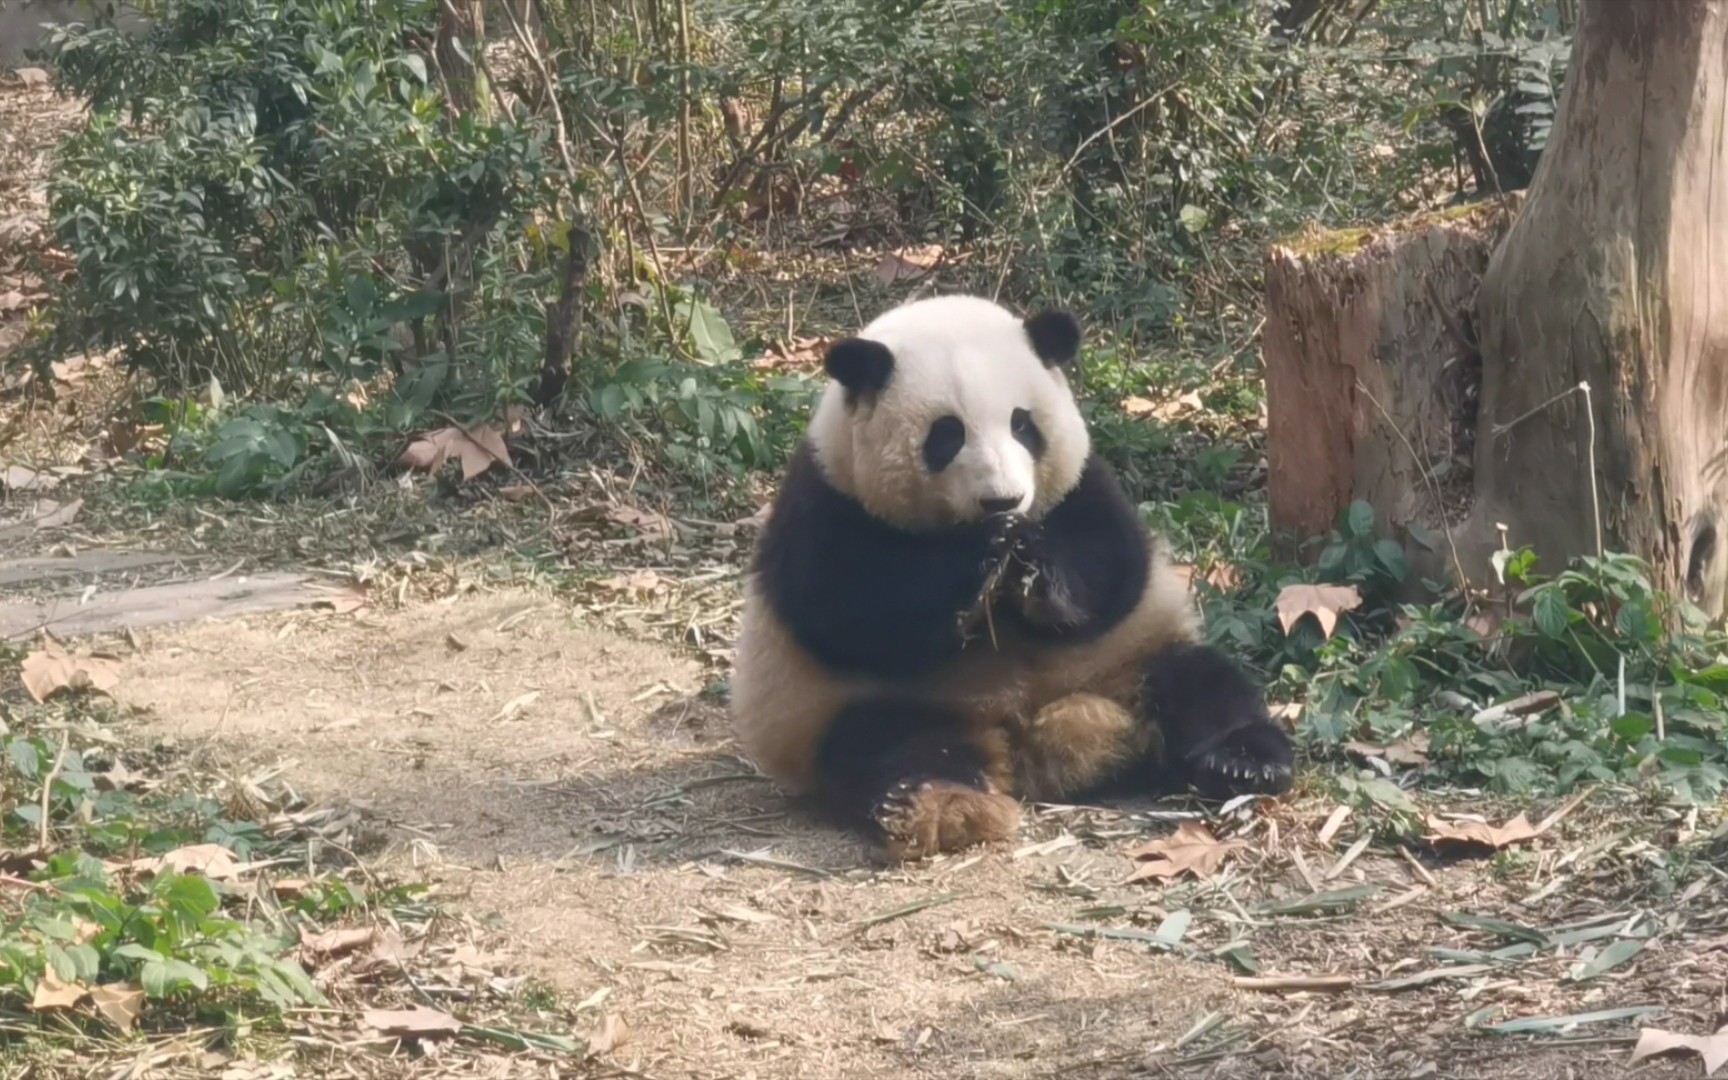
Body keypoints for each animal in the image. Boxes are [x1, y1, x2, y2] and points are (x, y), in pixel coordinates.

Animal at [725, 295, 1285, 860]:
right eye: (946, 434)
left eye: (1022, 425)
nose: (1003, 500)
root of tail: (1029, 740)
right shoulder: (827, 498)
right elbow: (843, 609)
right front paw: (979, 560)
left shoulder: (1081, 486)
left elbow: (1113, 570)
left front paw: (1032, 562)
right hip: (865, 706)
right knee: (891, 744)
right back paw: (942, 807)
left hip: (1126, 661)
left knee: (1199, 682)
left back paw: (1241, 761)